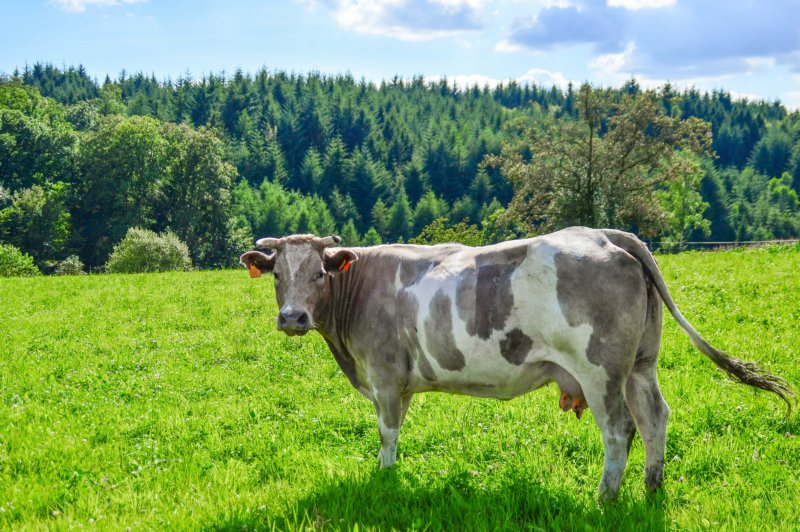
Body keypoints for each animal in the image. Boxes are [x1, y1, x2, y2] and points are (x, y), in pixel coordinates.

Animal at [239, 228, 792, 498]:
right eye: (276, 275)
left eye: (318, 272)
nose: (292, 317)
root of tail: (607, 234)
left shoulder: (385, 374)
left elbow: (388, 434)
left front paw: (386, 478)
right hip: (641, 363)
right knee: (655, 418)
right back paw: (652, 489)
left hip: (599, 371)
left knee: (619, 430)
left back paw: (605, 497)